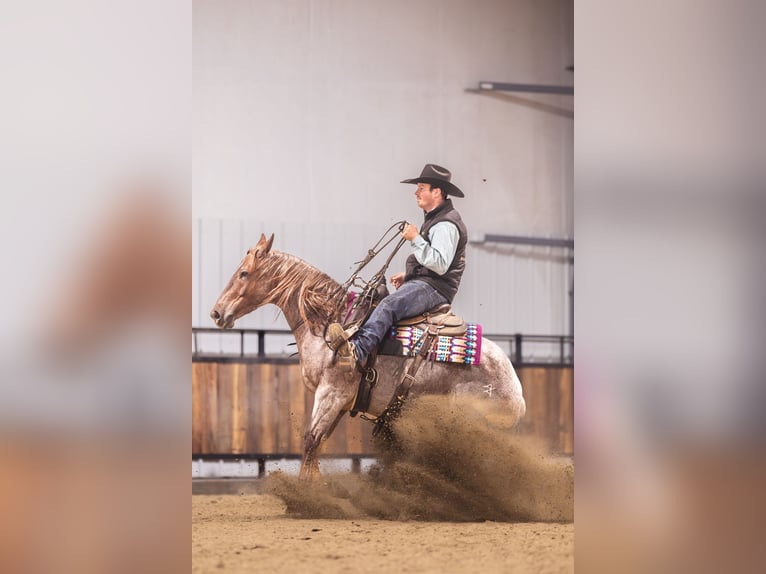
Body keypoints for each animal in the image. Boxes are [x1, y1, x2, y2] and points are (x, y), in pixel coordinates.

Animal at [210, 233, 526, 479]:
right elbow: (318, 445)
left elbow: (311, 441)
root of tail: (516, 392)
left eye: (244, 273)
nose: (216, 313)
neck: (332, 321)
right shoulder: (341, 402)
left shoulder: (331, 392)